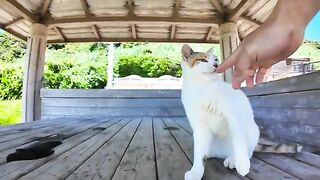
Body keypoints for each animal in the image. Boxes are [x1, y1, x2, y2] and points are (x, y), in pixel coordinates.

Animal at [181, 44, 258, 180]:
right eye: (203, 60)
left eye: (216, 59)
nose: (216, 65)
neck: (202, 87)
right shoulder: (199, 127)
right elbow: (198, 153)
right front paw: (196, 171)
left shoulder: (234, 117)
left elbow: (239, 142)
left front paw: (242, 165)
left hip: (252, 129)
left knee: (247, 150)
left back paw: (233, 159)